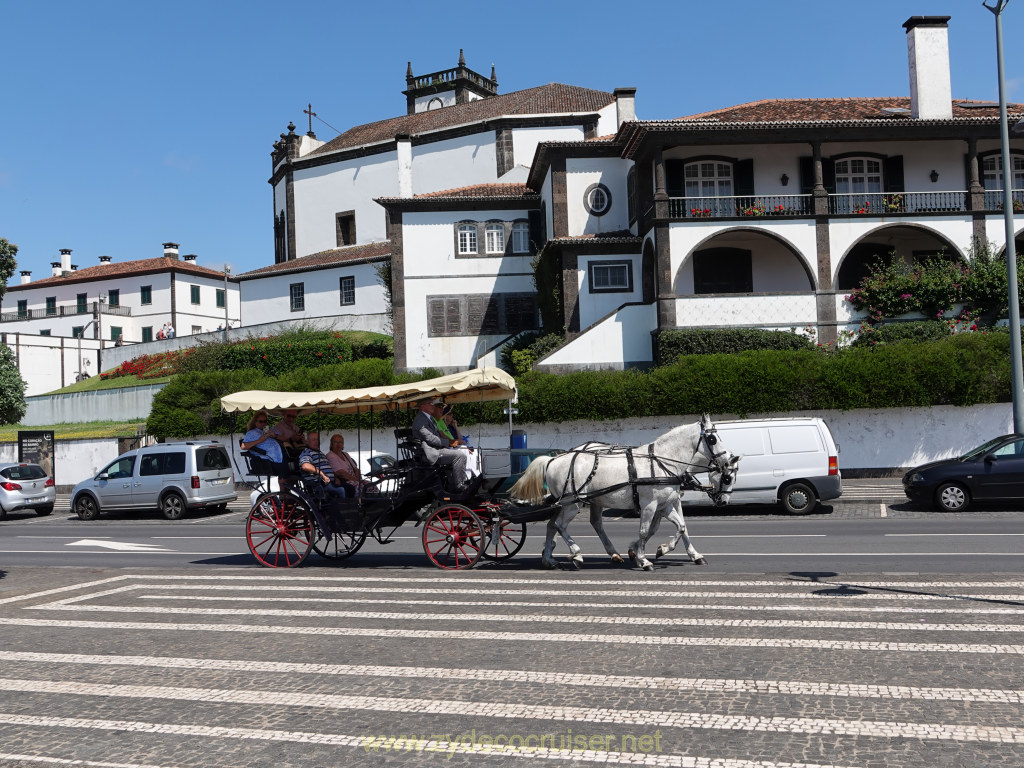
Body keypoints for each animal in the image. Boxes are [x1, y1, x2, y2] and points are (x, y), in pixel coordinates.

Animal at [509, 415, 737, 573]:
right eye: (712, 438)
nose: (727, 460)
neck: (663, 462)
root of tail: (553, 459)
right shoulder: (650, 505)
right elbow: (645, 531)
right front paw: (643, 559)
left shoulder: (666, 504)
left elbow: (681, 527)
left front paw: (667, 550)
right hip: (572, 504)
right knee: (560, 525)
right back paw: (577, 555)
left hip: (568, 503)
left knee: (554, 525)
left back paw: (551, 558)